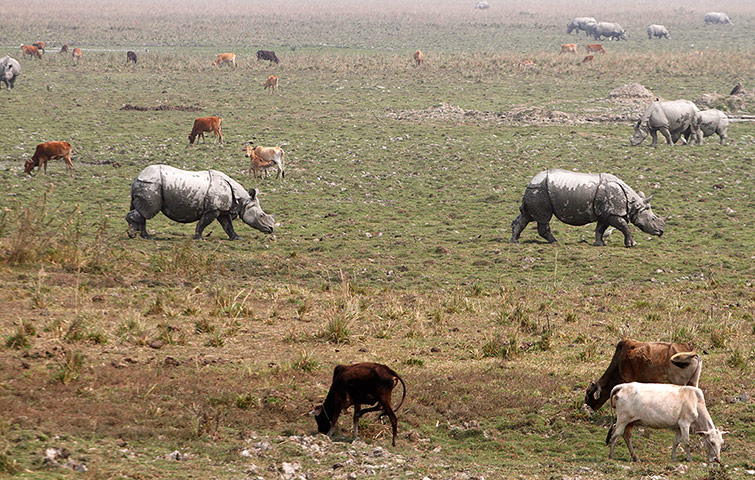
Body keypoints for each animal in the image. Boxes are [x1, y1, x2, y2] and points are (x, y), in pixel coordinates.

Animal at [126, 165, 274, 240]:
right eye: (261, 215)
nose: (271, 229)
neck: (242, 200)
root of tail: (137, 177)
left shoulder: (223, 210)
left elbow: (228, 225)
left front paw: (237, 238)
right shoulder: (213, 209)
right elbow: (203, 223)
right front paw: (199, 238)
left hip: (148, 184)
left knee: (143, 212)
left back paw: (144, 236)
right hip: (151, 184)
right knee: (148, 212)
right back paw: (136, 235)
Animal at [510, 169, 665, 248]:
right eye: (653, 219)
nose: (661, 232)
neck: (634, 204)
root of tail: (532, 180)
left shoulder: (606, 214)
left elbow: (600, 229)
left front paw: (599, 244)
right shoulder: (613, 213)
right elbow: (624, 227)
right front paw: (632, 244)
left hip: (536, 190)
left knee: (526, 216)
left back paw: (515, 241)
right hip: (540, 191)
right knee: (543, 218)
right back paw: (555, 242)